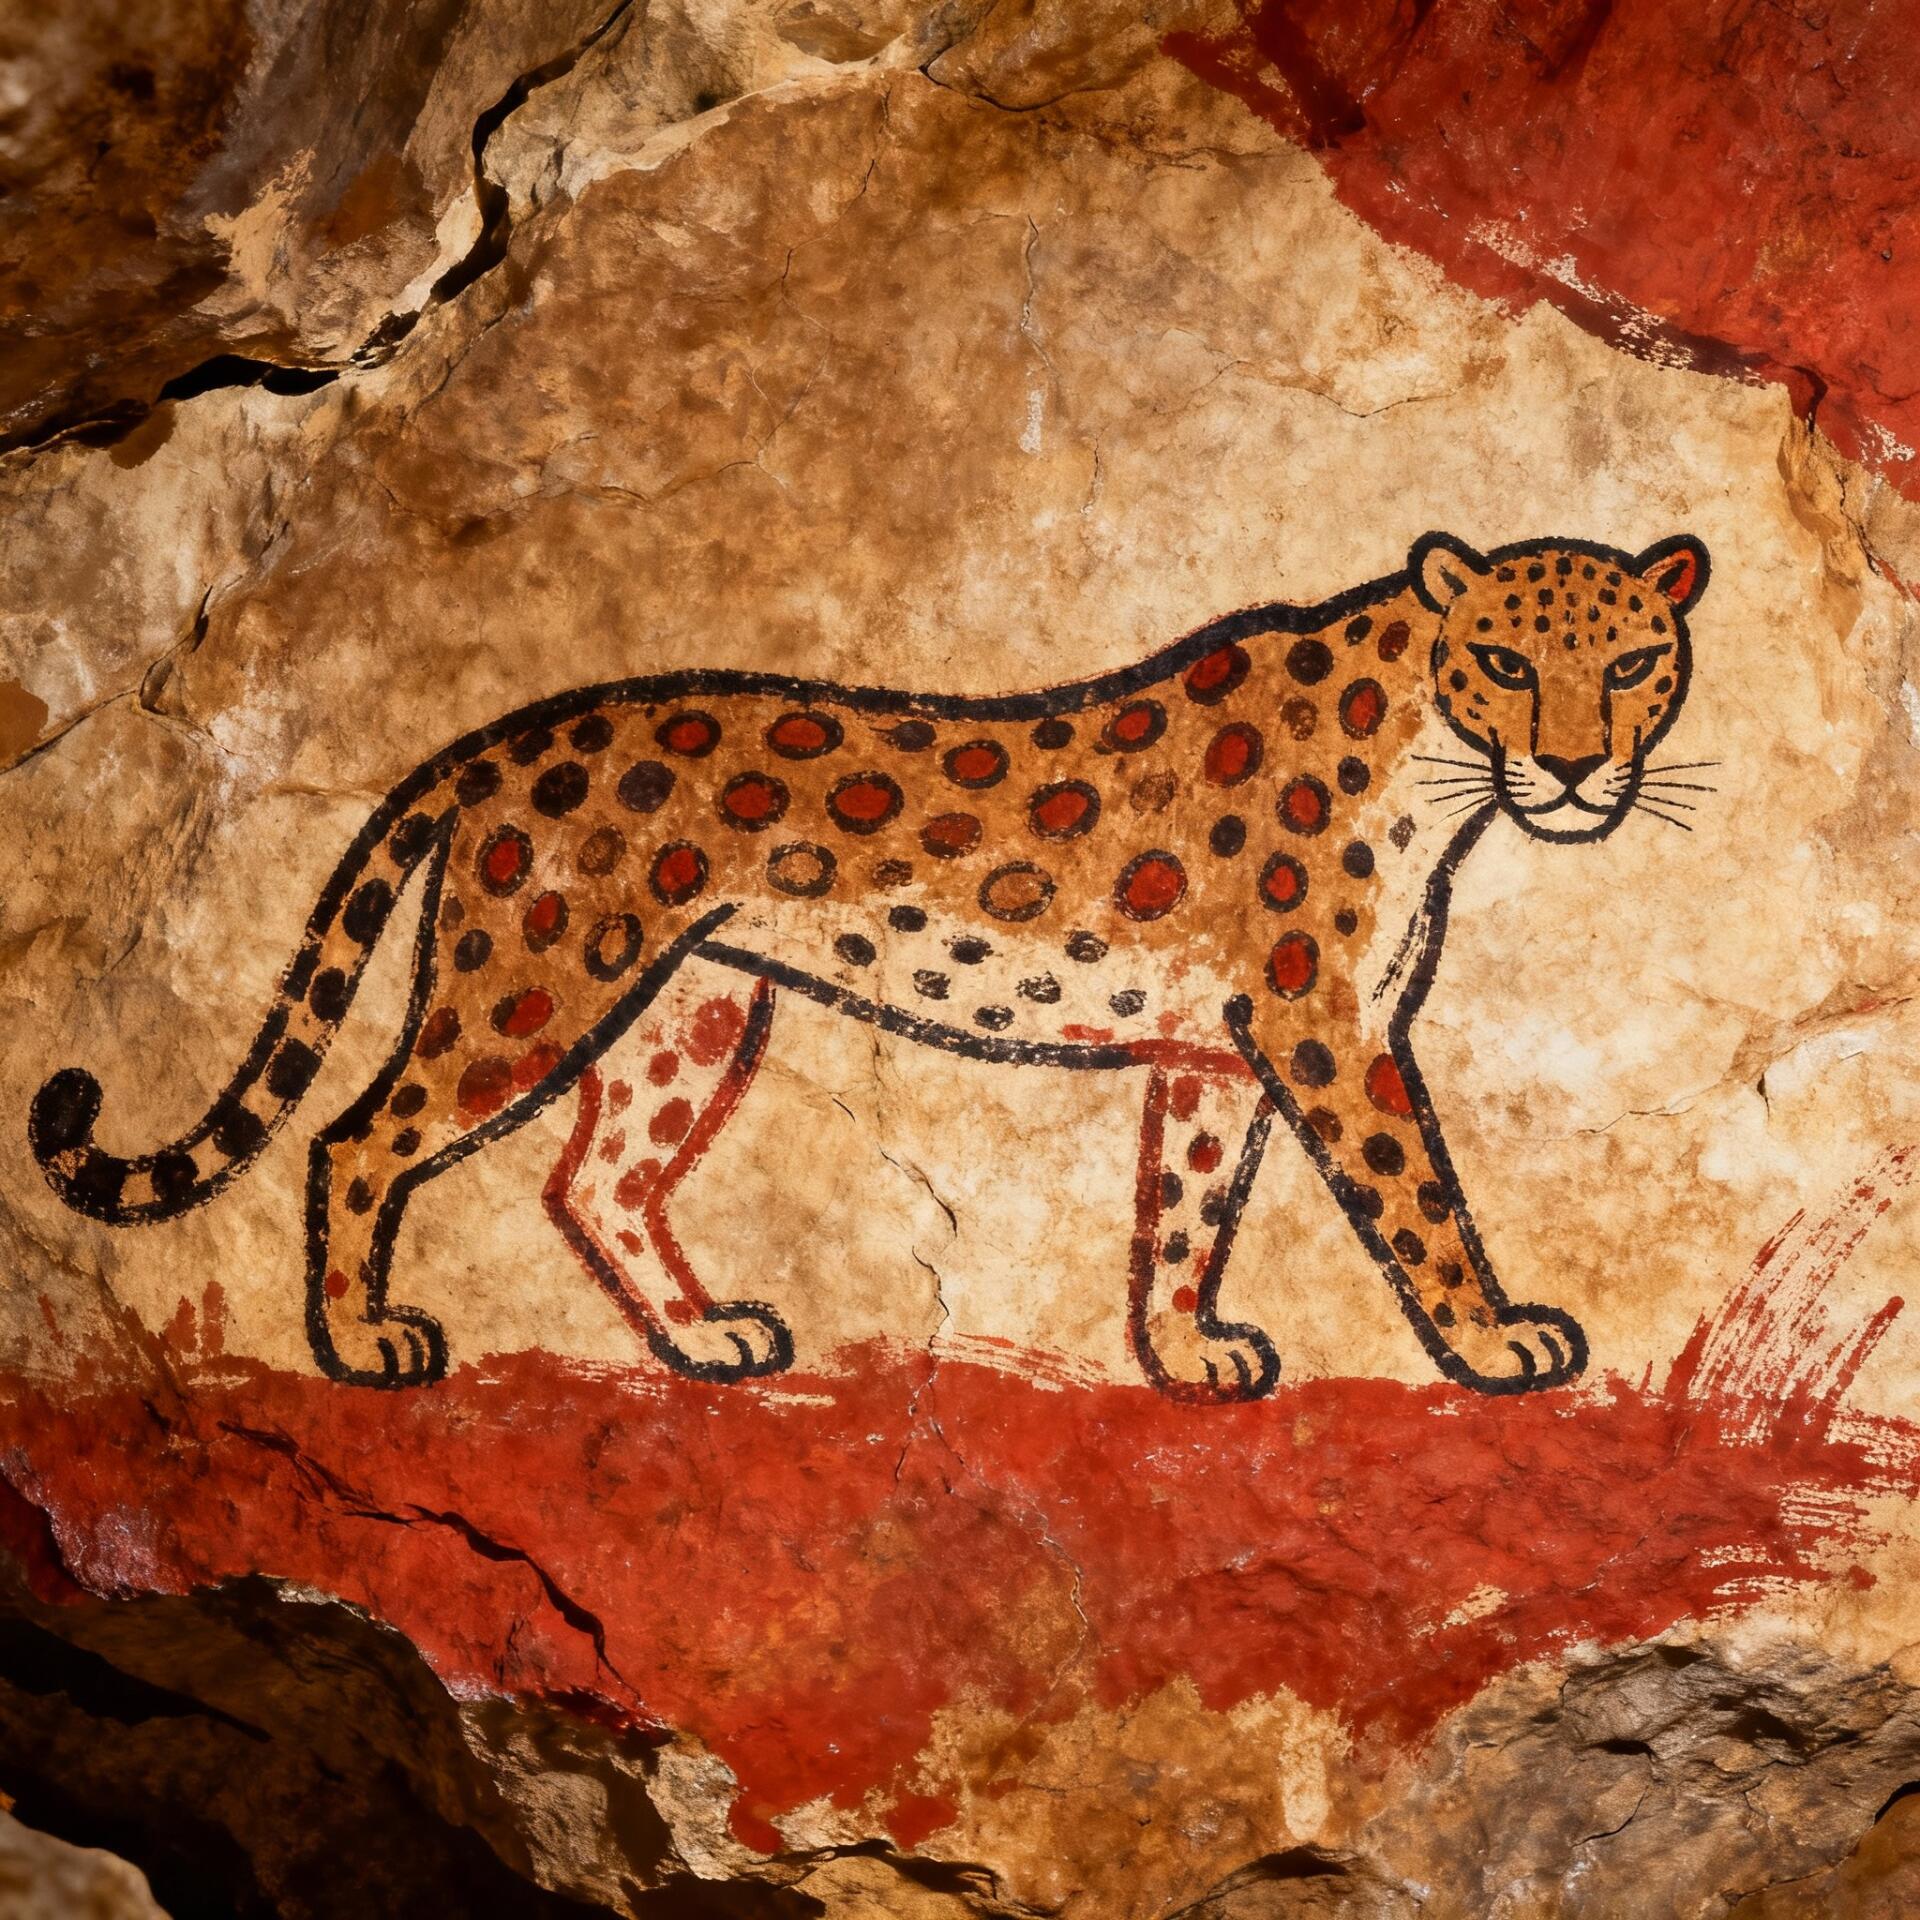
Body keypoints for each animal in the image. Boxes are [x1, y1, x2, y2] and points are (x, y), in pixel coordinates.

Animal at [29, 529, 1710, 1401]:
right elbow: (1418, 1198)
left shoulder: (1215, 1050)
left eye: (1635, 661)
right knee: (363, 1134)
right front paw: (1500, 1338)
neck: (1431, 746)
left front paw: (1186, 1349)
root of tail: (510, 733)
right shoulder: (1322, 1033)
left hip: (698, 1006)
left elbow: (1181, 1212)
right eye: (1508, 660)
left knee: (597, 1178)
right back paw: (364, 1344)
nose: (1577, 773)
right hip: (540, 979)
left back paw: (708, 1339)